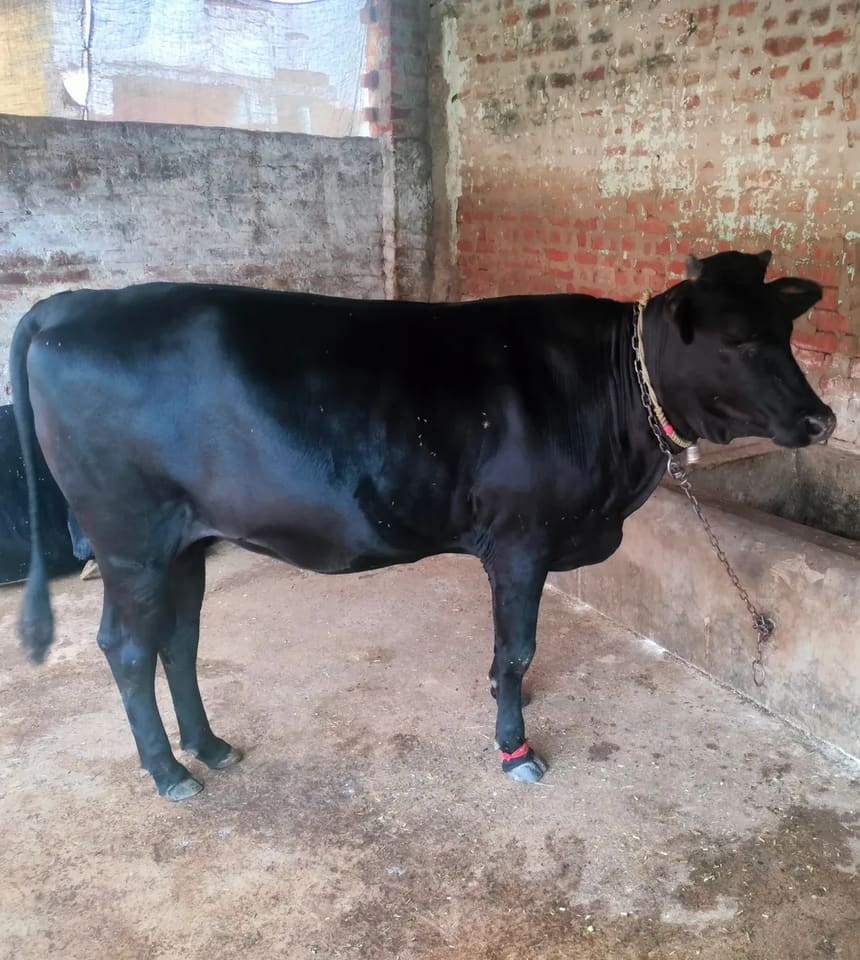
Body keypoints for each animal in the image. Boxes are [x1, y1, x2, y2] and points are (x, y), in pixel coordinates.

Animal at [10, 250, 835, 801]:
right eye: (737, 340)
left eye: (784, 331)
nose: (821, 419)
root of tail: (71, 305)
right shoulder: (520, 539)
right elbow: (518, 650)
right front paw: (515, 748)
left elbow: (505, 652)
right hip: (130, 540)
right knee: (126, 648)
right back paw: (167, 771)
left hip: (186, 541)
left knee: (178, 642)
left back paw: (209, 747)